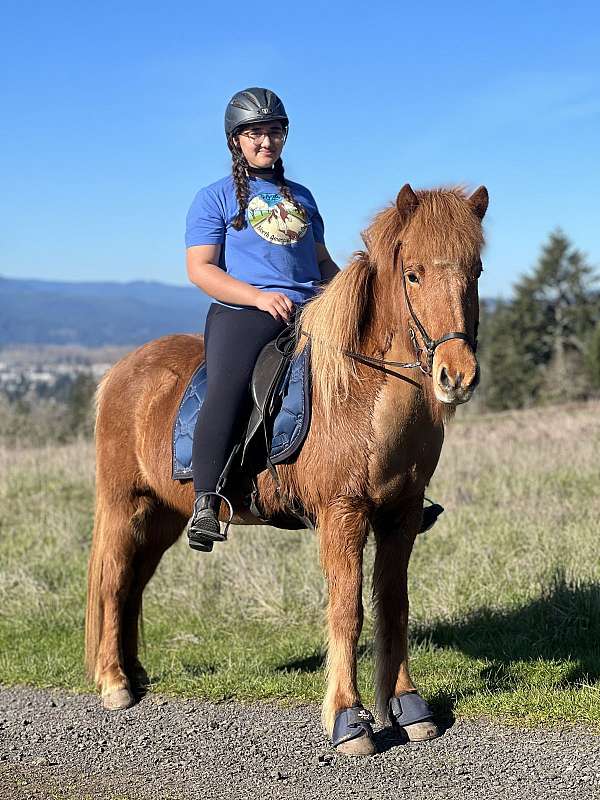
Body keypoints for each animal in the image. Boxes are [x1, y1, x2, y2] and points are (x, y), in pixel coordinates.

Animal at [84, 183, 488, 756]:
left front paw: (409, 708)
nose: (456, 376)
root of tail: (120, 371)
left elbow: (394, 604)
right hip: (124, 503)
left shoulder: (402, 514)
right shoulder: (343, 513)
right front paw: (348, 720)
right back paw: (115, 683)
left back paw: (135, 674)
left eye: (475, 271)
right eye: (413, 274)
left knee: (135, 583)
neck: (365, 393)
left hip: (163, 513)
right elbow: (347, 610)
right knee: (114, 581)